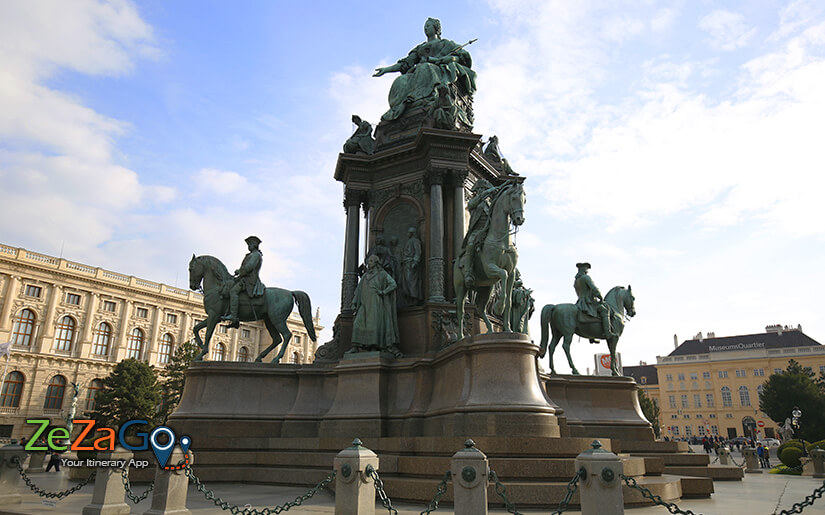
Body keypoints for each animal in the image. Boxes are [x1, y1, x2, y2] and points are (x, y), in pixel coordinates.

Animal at [188, 255, 318, 362]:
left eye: (190, 268)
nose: (192, 286)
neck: (217, 287)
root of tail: (290, 292)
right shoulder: (214, 317)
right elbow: (196, 328)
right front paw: (200, 345)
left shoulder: (214, 316)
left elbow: (208, 334)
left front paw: (201, 354)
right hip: (269, 320)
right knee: (277, 339)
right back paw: (259, 357)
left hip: (277, 319)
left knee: (286, 335)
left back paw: (276, 358)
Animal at [454, 181, 524, 338]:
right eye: (514, 198)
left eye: (524, 199)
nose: (520, 219)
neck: (502, 242)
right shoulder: (490, 268)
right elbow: (503, 273)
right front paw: (498, 307)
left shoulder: (511, 274)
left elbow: (509, 300)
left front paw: (508, 329)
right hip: (461, 287)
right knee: (460, 310)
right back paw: (461, 337)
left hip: (486, 288)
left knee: (480, 309)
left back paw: (490, 330)